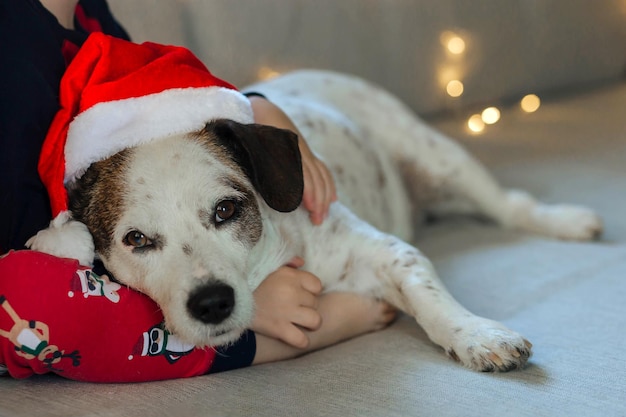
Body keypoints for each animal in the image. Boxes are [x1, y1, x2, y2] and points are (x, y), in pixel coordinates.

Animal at [30, 69, 600, 370]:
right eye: (137, 239)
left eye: (226, 209)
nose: (212, 303)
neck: (271, 261)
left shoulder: (385, 253)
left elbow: (428, 296)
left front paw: (475, 334)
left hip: (440, 158)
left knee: (512, 204)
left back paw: (567, 220)